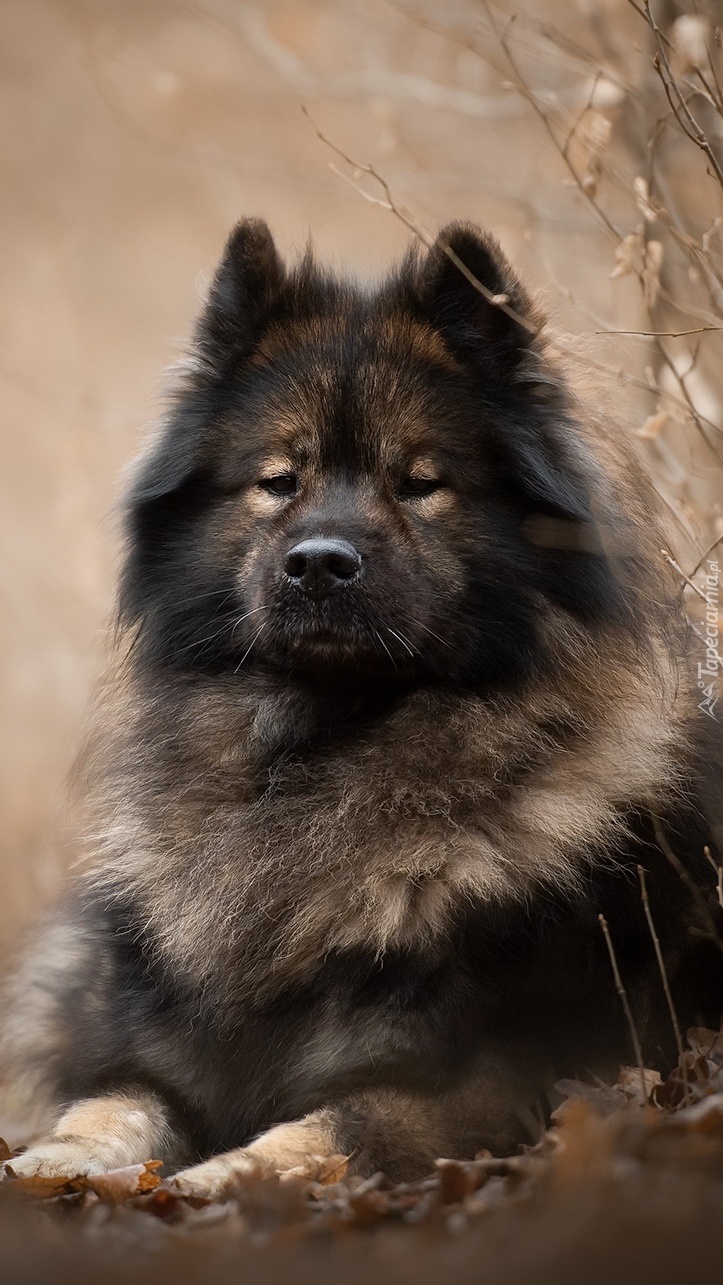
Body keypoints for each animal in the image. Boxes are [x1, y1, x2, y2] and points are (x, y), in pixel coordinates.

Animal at [1, 218, 723, 1182]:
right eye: (279, 480)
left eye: (418, 482)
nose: (317, 562)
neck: (315, 761)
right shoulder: (160, 1059)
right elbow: (101, 1109)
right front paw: (43, 1167)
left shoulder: (473, 1087)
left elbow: (314, 1130)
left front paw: (211, 1180)